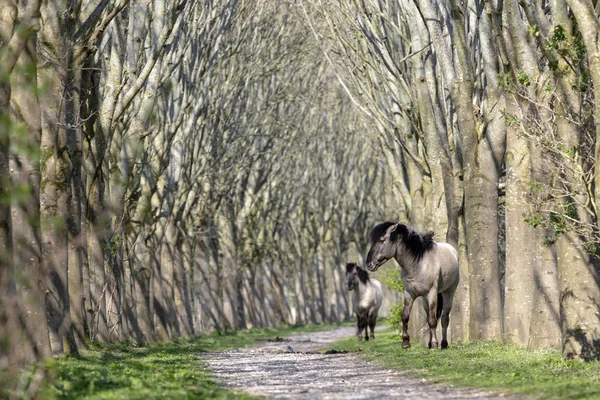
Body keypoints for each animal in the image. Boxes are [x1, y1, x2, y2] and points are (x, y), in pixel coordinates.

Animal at [366, 222, 460, 350]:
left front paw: (435, 345)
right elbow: (405, 316)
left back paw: (444, 344)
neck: (417, 264)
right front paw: (405, 343)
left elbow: (432, 320)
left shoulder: (432, 293)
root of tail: (452, 250)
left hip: (448, 292)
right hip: (425, 299)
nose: (369, 264)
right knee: (429, 315)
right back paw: (429, 344)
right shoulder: (409, 293)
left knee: (444, 318)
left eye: (382, 240)